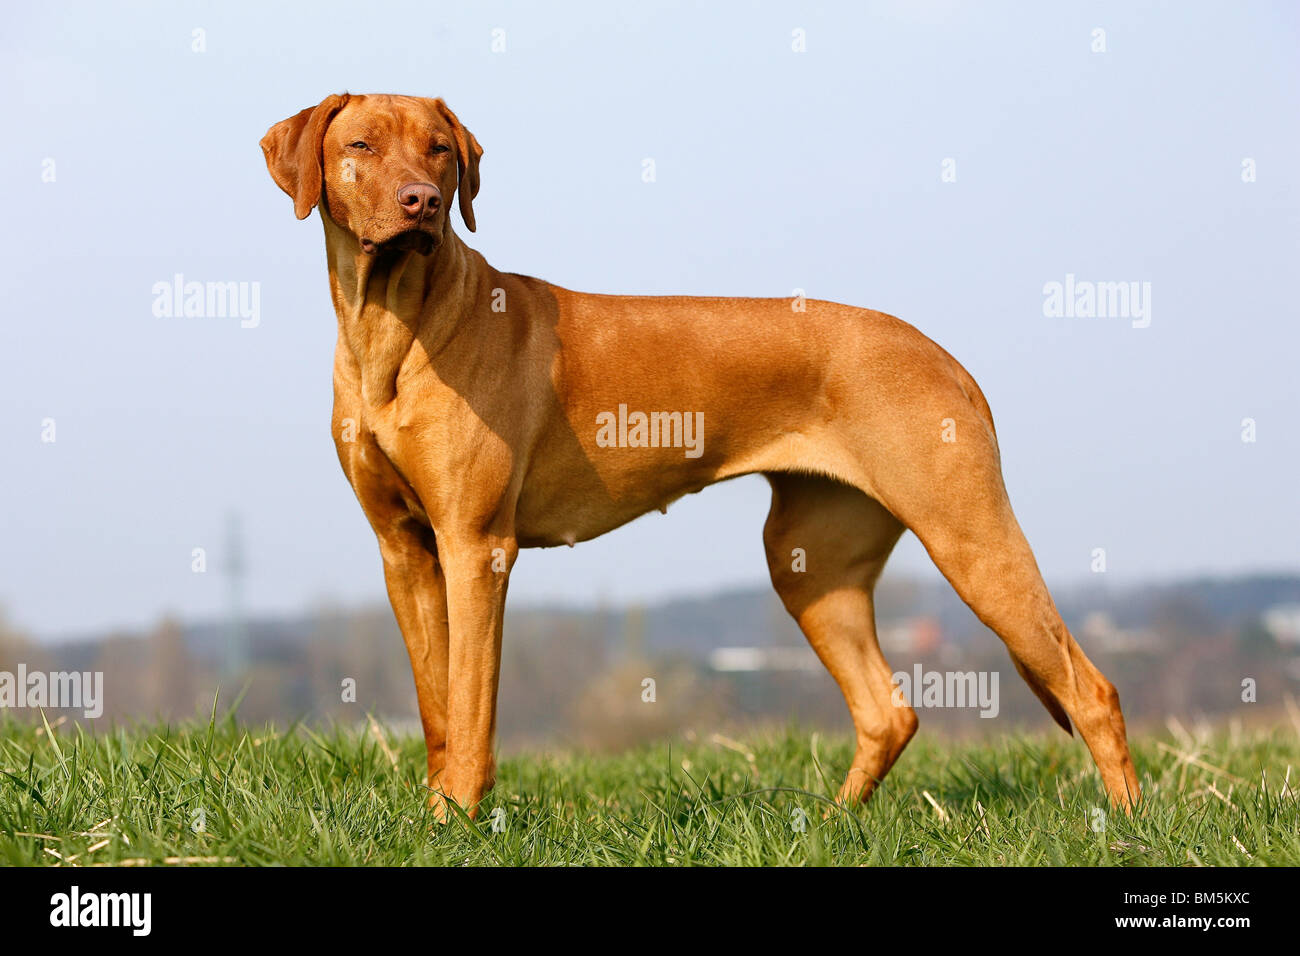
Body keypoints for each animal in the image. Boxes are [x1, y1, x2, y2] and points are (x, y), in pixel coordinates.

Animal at [261, 93, 1138, 816]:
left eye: (440, 148)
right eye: (363, 144)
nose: (424, 202)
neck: (393, 325)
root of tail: (946, 358)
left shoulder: (477, 546)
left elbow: (473, 705)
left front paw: (460, 820)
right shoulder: (405, 549)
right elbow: (439, 704)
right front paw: (437, 815)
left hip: (968, 537)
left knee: (1091, 688)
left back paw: (1126, 823)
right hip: (809, 559)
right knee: (888, 711)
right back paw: (832, 823)